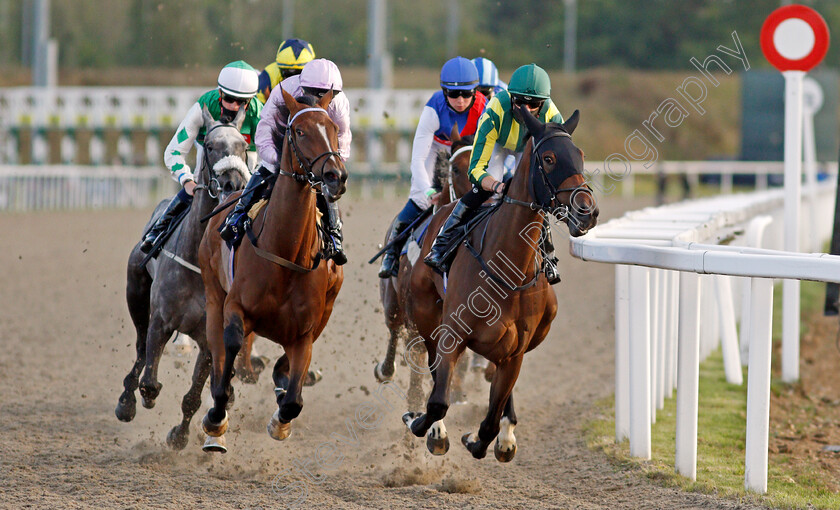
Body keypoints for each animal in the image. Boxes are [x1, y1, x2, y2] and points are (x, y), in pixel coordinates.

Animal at [116, 105, 256, 448]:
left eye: (243, 146)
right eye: (210, 146)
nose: (232, 183)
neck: (197, 262)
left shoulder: (210, 338)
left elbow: (193, 397)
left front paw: (179, 436)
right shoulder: (161, 320)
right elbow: (150, 378)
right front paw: (143, 398)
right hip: (136, 294)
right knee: (140, 351)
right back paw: (126, 401)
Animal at [199, 88, 346, 454]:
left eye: (334, 129)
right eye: (300, 131)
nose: (335, 176)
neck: (285, 251)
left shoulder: (306, 332)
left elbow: (293, 400)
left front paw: (280, 423)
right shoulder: (235, 307)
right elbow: (229, 358)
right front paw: (215, 421)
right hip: (213, 296)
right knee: (219, 351)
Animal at [400, 107, 596, 462]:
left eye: (581, 155)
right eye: (548, 159)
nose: (586, 211)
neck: (508, 268)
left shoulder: (514, 352)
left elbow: (490, 420)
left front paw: (481, 438)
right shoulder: (452, 334)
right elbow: (437, 403)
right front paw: (422, 423)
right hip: (425, 314)